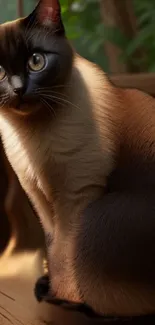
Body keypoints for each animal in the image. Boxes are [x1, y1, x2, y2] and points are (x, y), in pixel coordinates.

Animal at [0, 0, 155, 318]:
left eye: (36, 61)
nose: (19, 89)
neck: (31, 136)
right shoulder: (40, 199)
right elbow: (54, 250)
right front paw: (55, 291)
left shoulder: (76, 197)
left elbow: (65, 256)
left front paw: (64, 297)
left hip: (96, 218)